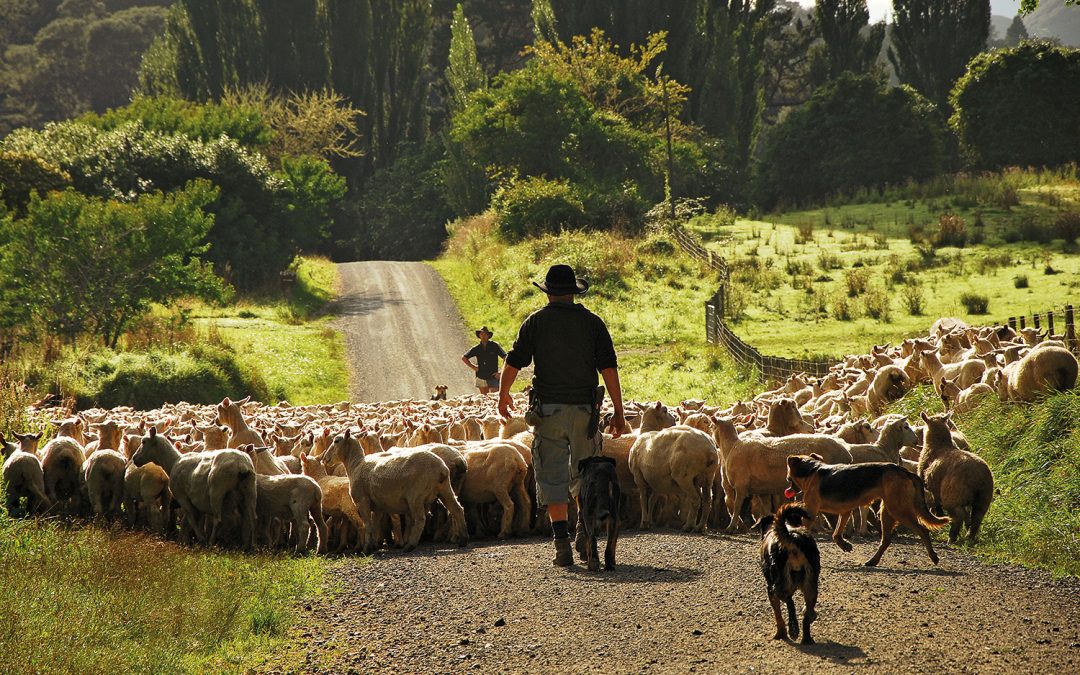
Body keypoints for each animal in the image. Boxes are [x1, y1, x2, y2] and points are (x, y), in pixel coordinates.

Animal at [751, 503, 816, 643]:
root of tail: (792, 537)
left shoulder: (770, 590)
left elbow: (778, 614)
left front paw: (780, 633)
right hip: (811, 586)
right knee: (807, 614)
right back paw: (807, 638)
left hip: (778, 585)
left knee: (790, 602)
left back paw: (793, 629)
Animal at [781, 453, 950, 570]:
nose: (788, 489)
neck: (813, 470)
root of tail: (904, 470)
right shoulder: (845, 511)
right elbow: (836, 534)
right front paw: (845, 545)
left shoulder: (812, 510)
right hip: (886, 512)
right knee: (886, 540)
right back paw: (873, 561)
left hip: (898, 510)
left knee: (922, 530)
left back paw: (933, 556)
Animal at [920, 410, 993, 542]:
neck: (938, 445)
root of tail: (977, 475)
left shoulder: (930, 486)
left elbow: (938, 505)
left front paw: (940, 517)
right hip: (984, 495)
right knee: (977, 516)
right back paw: (970, 536)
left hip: (953, 493)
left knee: (959, 515)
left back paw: (952, 537)